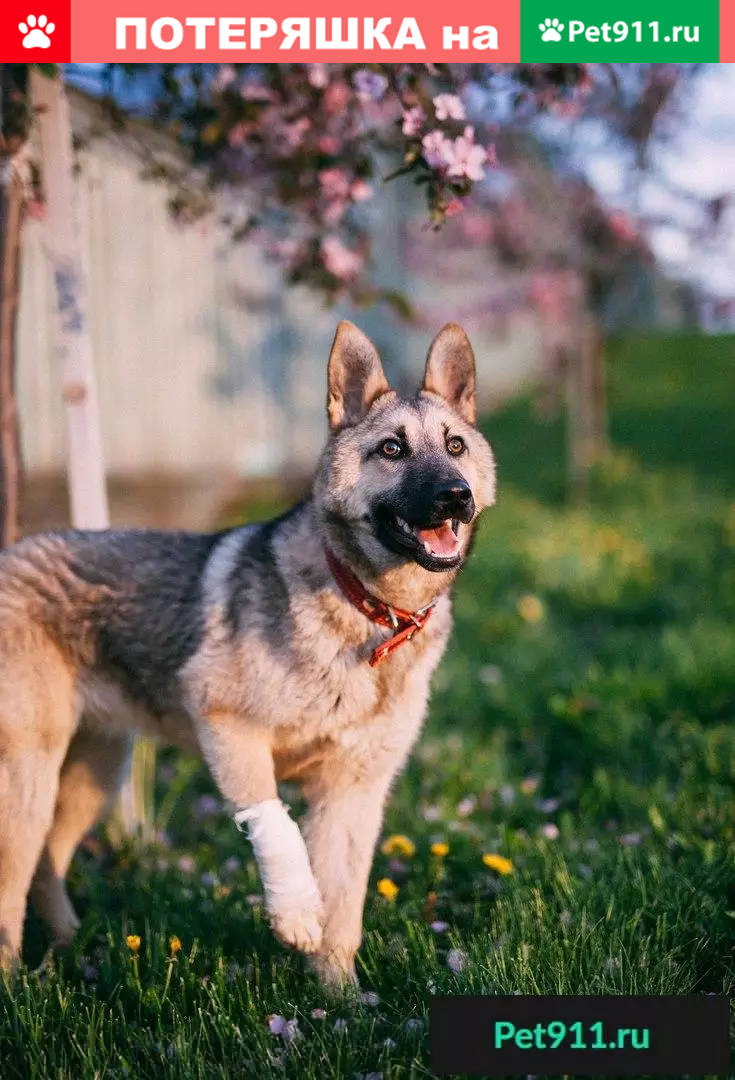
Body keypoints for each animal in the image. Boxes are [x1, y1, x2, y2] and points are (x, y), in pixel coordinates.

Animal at [0, 321, 496, 989]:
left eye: (455, 445)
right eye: (392, 449)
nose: (455, 496)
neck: (365, 608)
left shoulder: (353, 792)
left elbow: (344, 906)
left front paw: (341, 999)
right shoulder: (228, 729)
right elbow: (275, 825)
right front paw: (296, 914)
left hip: (92, 773)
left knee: (47, 864)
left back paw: (70, 944)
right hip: (28, 779)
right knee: (13, 884)